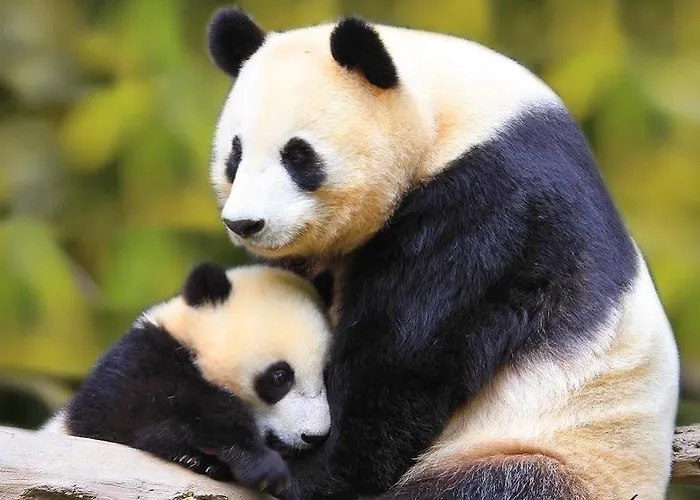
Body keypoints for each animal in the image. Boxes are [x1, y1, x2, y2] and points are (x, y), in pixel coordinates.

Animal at [41, 262, 333, 495]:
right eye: (280, 377)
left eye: (325, 374)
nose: (315, 436)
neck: (191, 343)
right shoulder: (136, 365)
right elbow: (139, 414)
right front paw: (261, 464)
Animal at [206, 8, 680, 500]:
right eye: (235, 155)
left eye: (298, 156)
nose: (245, 223)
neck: (447, 117)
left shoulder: (489, 204)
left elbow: (402, 356)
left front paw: (295, 468)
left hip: (553, 453)